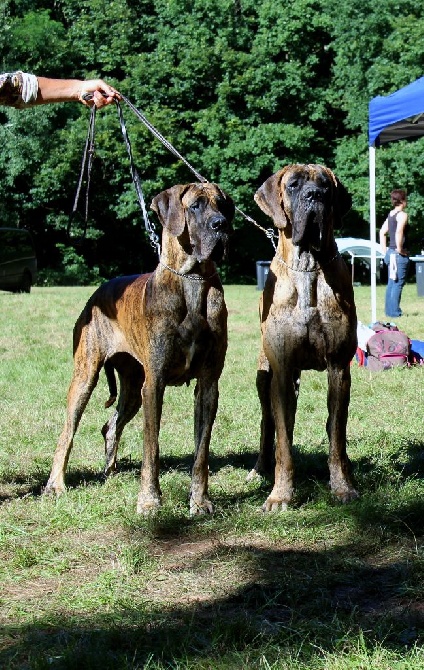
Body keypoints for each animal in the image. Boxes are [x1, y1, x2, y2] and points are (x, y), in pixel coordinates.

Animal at [44, 181, 234, 516]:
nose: (221, 225)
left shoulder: (208, 384)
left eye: (222, 205)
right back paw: (56, 484)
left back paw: (109, 472)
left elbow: (201, 452)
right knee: (67, 432)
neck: (192, 279)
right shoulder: (154, 384)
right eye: (196, 205)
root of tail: (98, 293)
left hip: (132, 387)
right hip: (85, 376)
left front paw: (200, 501)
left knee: (110, 426)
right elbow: (151, 448)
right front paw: (149, 500)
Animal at [248, 165, 358, 512]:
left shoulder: (339, 368)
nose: (314, 196)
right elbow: (283, 441)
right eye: (294, 185)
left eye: (325, 186)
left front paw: (342, 487)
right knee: (269, 425)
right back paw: (259, 470)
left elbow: (336, 434)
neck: (308, 266)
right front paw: (280, 495)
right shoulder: (282, 370)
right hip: (265, 377)